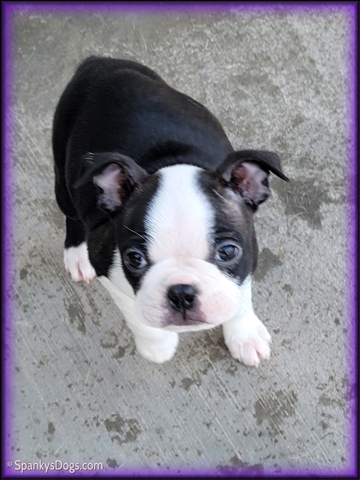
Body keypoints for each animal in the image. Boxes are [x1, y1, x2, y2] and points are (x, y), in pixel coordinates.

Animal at [52, 55, 290, 364]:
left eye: (228, 252)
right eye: (134, 259)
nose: (182, 293)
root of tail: (98, 63)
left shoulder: (248, 256)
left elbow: (241, 294)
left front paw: (244, 335)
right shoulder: (106, 264)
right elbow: (137, 315)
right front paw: (158, 345)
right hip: (64, 177)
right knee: (71, 213)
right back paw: (76, 255)